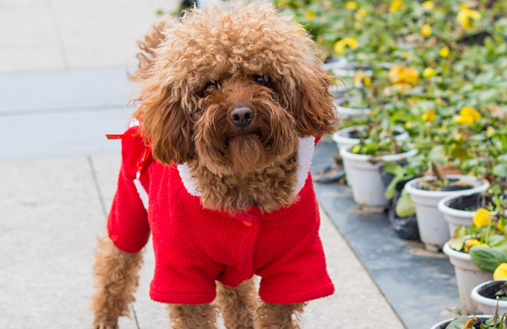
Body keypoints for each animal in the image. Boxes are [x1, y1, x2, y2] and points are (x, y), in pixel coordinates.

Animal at [91, 1, 338, 326]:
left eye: (261, 78)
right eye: (209, 86)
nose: (242, 114)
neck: (244, 178)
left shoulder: (295, 263)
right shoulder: (182, 270)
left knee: (236, 295)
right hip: (129, 207)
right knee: (115, 263)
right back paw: (104, 317)